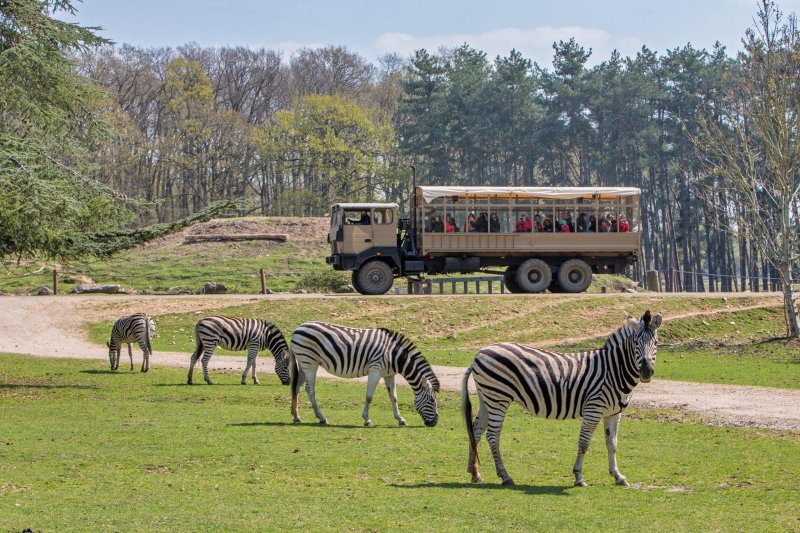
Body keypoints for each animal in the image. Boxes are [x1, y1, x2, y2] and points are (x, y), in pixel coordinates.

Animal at [290, 320, 440, 428]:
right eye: (432, 401)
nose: (435, 423)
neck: (393, 355)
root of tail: (297, 328)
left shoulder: (389, 374)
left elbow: (393, 397)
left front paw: (400, 419)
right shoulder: (375, 370)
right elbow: (369, 396)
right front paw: (367, 420)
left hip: (303, 363)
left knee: (297, 387)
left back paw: (296, 416)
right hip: (310, 363)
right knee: (310, 389)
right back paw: (321, 417)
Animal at [462, 308, 664, 486]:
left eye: (655, 342)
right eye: (636, 342)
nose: (646, 372)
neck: (613, 370)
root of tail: (479, 353)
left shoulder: (614, 412)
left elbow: (612, 443)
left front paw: (618, 476)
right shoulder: (593, 409)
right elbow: (584, 443)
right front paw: (579, 477)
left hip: (487, 397)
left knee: (476, 430)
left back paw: (475, 473)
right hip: (499, 397)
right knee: (492, 435)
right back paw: (505, 476)